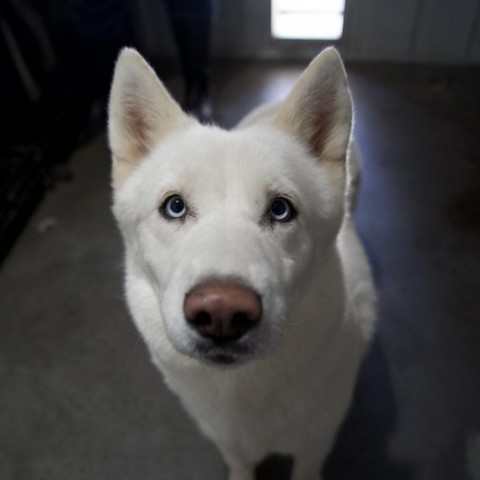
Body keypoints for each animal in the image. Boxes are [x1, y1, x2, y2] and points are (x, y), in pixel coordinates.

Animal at [108, 46, 376, 480]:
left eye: (281, 210)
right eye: (174, 207)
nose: (222, 312)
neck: (239, 389)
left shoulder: (315, 447)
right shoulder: (227, 442)